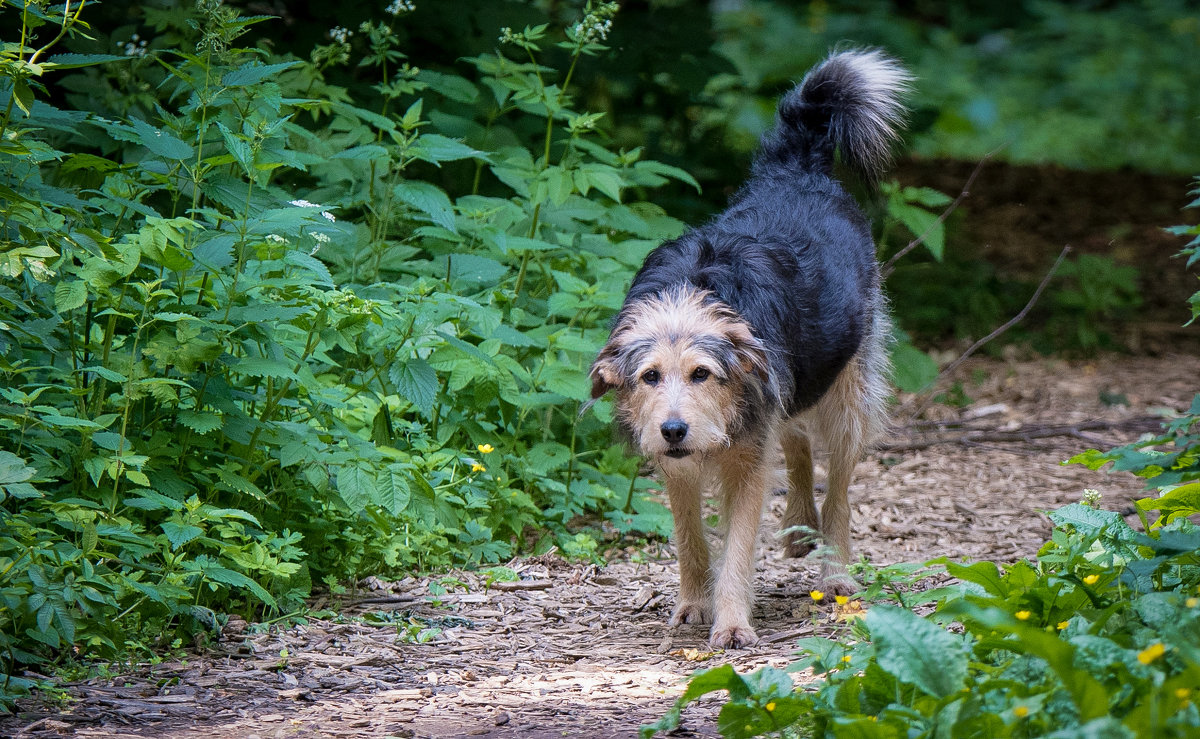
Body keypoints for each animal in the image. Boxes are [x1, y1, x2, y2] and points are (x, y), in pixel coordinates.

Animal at [590, 49, 907, 647]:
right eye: (649, 376)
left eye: (702, 374)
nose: (673, 429)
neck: (689, 299)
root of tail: (796, 168)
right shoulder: (680, 466)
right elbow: (690, 539)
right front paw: (693, 604)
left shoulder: (746, 463)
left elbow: (737, 546)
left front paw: (733, 623)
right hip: (790, 386)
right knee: (798, 441)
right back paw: (800, 528)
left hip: (848, 397)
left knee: (839, 488)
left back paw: (835, 571)